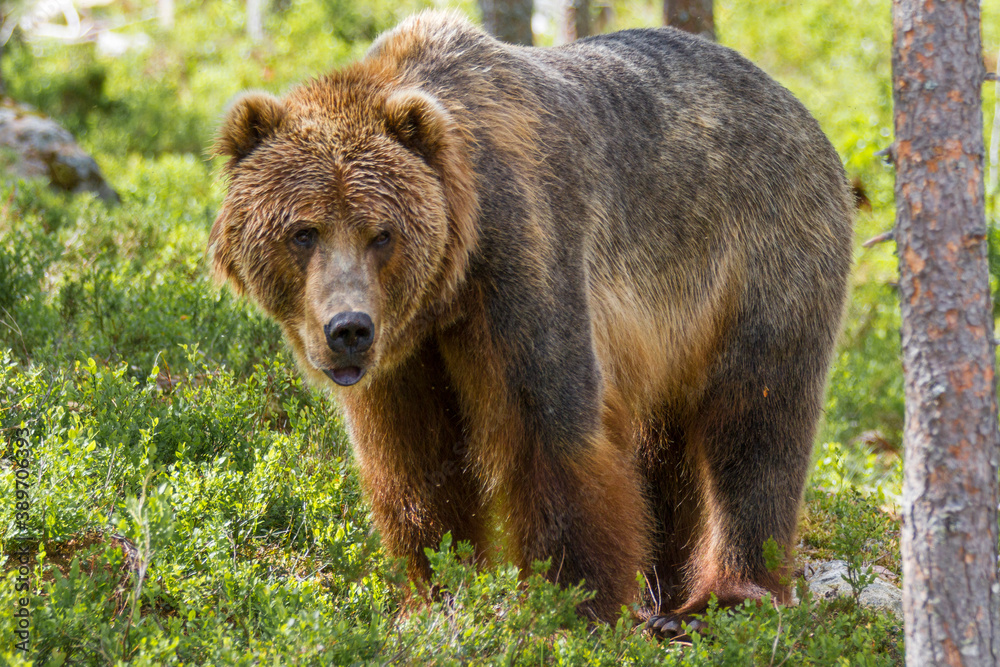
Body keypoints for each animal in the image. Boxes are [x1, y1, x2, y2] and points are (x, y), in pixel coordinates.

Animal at [209, 11, 852, 636]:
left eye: (381, 234)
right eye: (303, 232)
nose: (349, 329)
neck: (448, 287)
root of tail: (801, 111)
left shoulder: (522, 256)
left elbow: (550, 428)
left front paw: (569, 605)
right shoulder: (405, 359)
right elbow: (413, 462)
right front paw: (430, 596)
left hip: (761, 255)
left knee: (755, 424)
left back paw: (718, 600)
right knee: (666, 446)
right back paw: (661, 587)